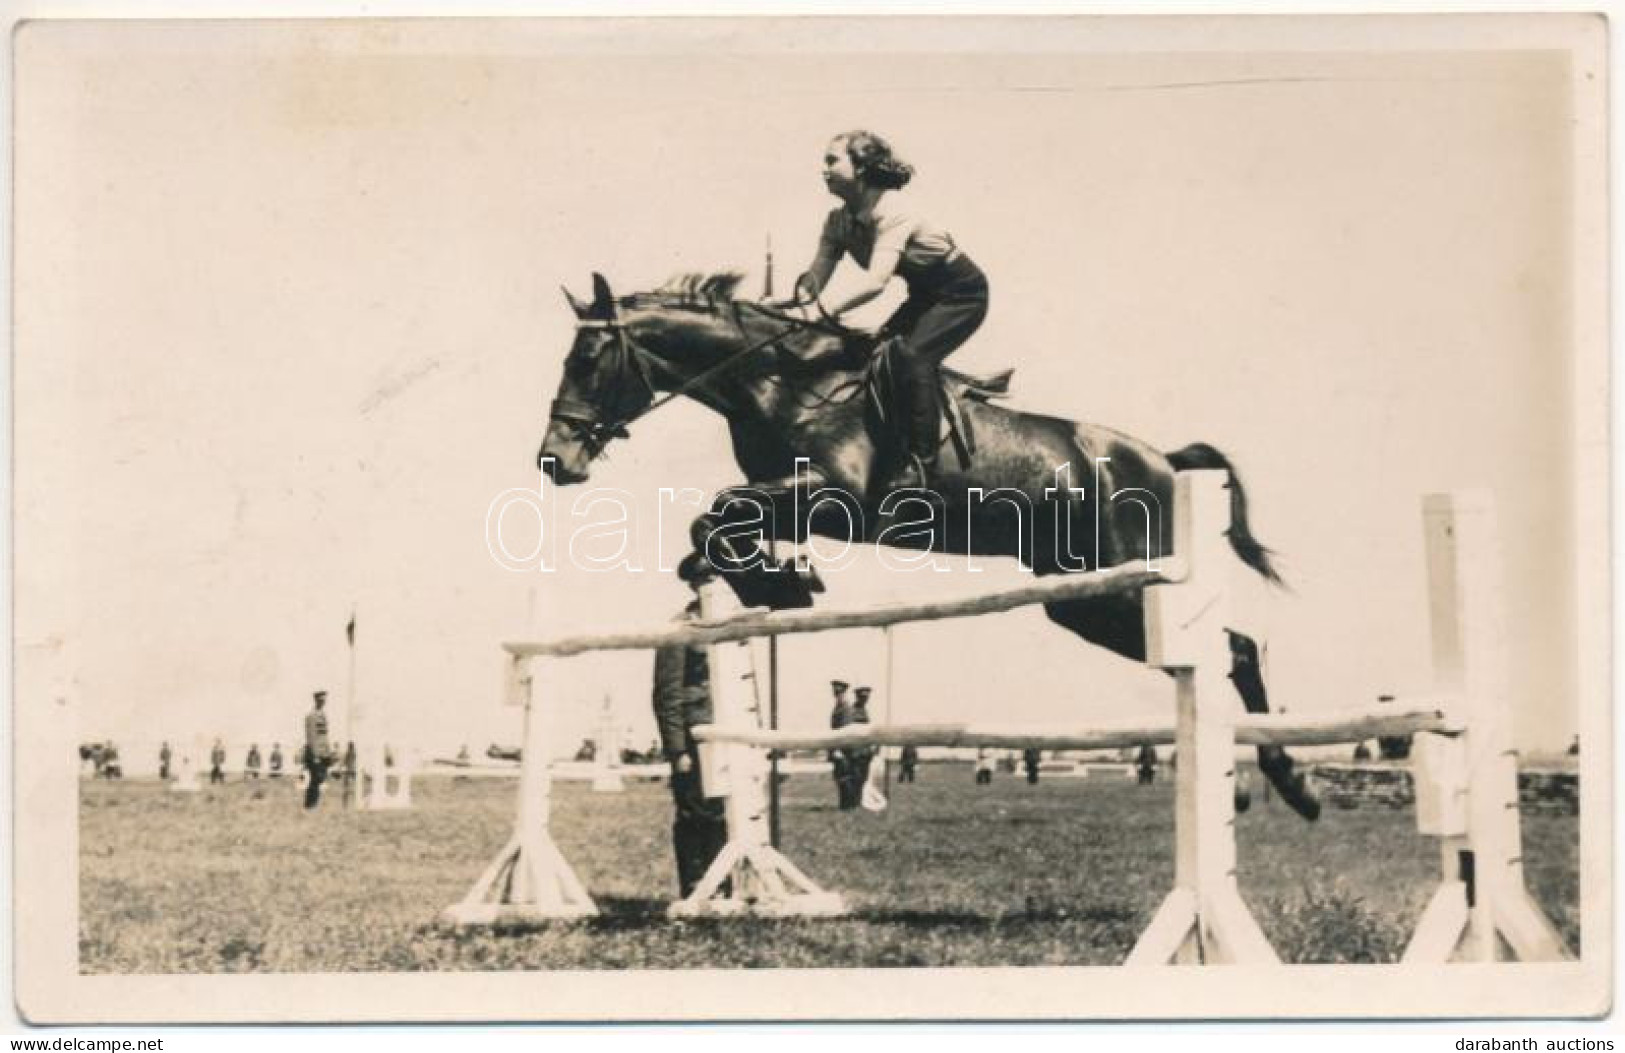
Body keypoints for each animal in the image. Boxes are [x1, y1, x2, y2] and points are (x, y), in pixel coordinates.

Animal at [533, 273, 1319, 822]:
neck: (780, 381)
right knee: (1222, 650)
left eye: (589, 358)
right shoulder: (794, 499)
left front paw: (777, 582)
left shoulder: (838, 495)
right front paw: (773, 580)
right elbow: (718, 526)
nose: (554, 460)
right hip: (1084, 601)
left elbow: (720, 511)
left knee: (1234, 649)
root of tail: (1162, 459)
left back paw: (1292, 784)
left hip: (1122, 585)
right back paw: (1261, 785)